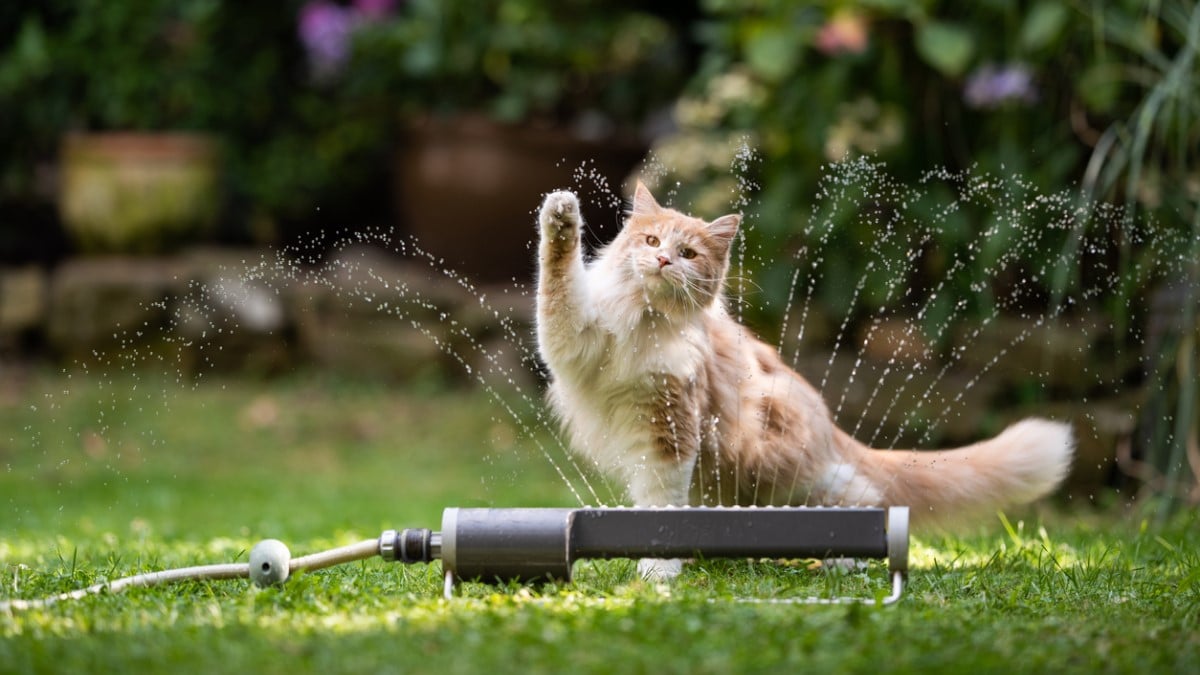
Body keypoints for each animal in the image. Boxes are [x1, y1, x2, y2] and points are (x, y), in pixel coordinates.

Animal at [537, 180, 1080, 578]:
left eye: (687, 253)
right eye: (650, 242)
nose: (663, 260)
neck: (644, 321)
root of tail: (829, 425)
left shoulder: (671, 430)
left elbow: (661, 506)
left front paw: (658, 570)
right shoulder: (573, 340)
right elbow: (556, 284)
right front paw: (561, 218)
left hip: (781, 472)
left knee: (863, 495)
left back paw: (848, 559)